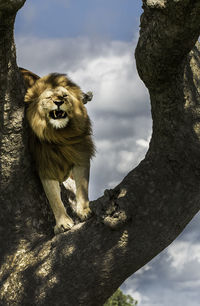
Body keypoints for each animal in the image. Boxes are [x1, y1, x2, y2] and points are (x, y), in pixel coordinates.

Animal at [20, 67, 95, 234]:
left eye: (64, 96)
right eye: (49, 97)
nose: (58, 102)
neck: (60, 135)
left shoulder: (80, 155)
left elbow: (82, 187)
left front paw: (84, 210)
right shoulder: (46, 165)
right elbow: (53, 197)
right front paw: (62, 223)